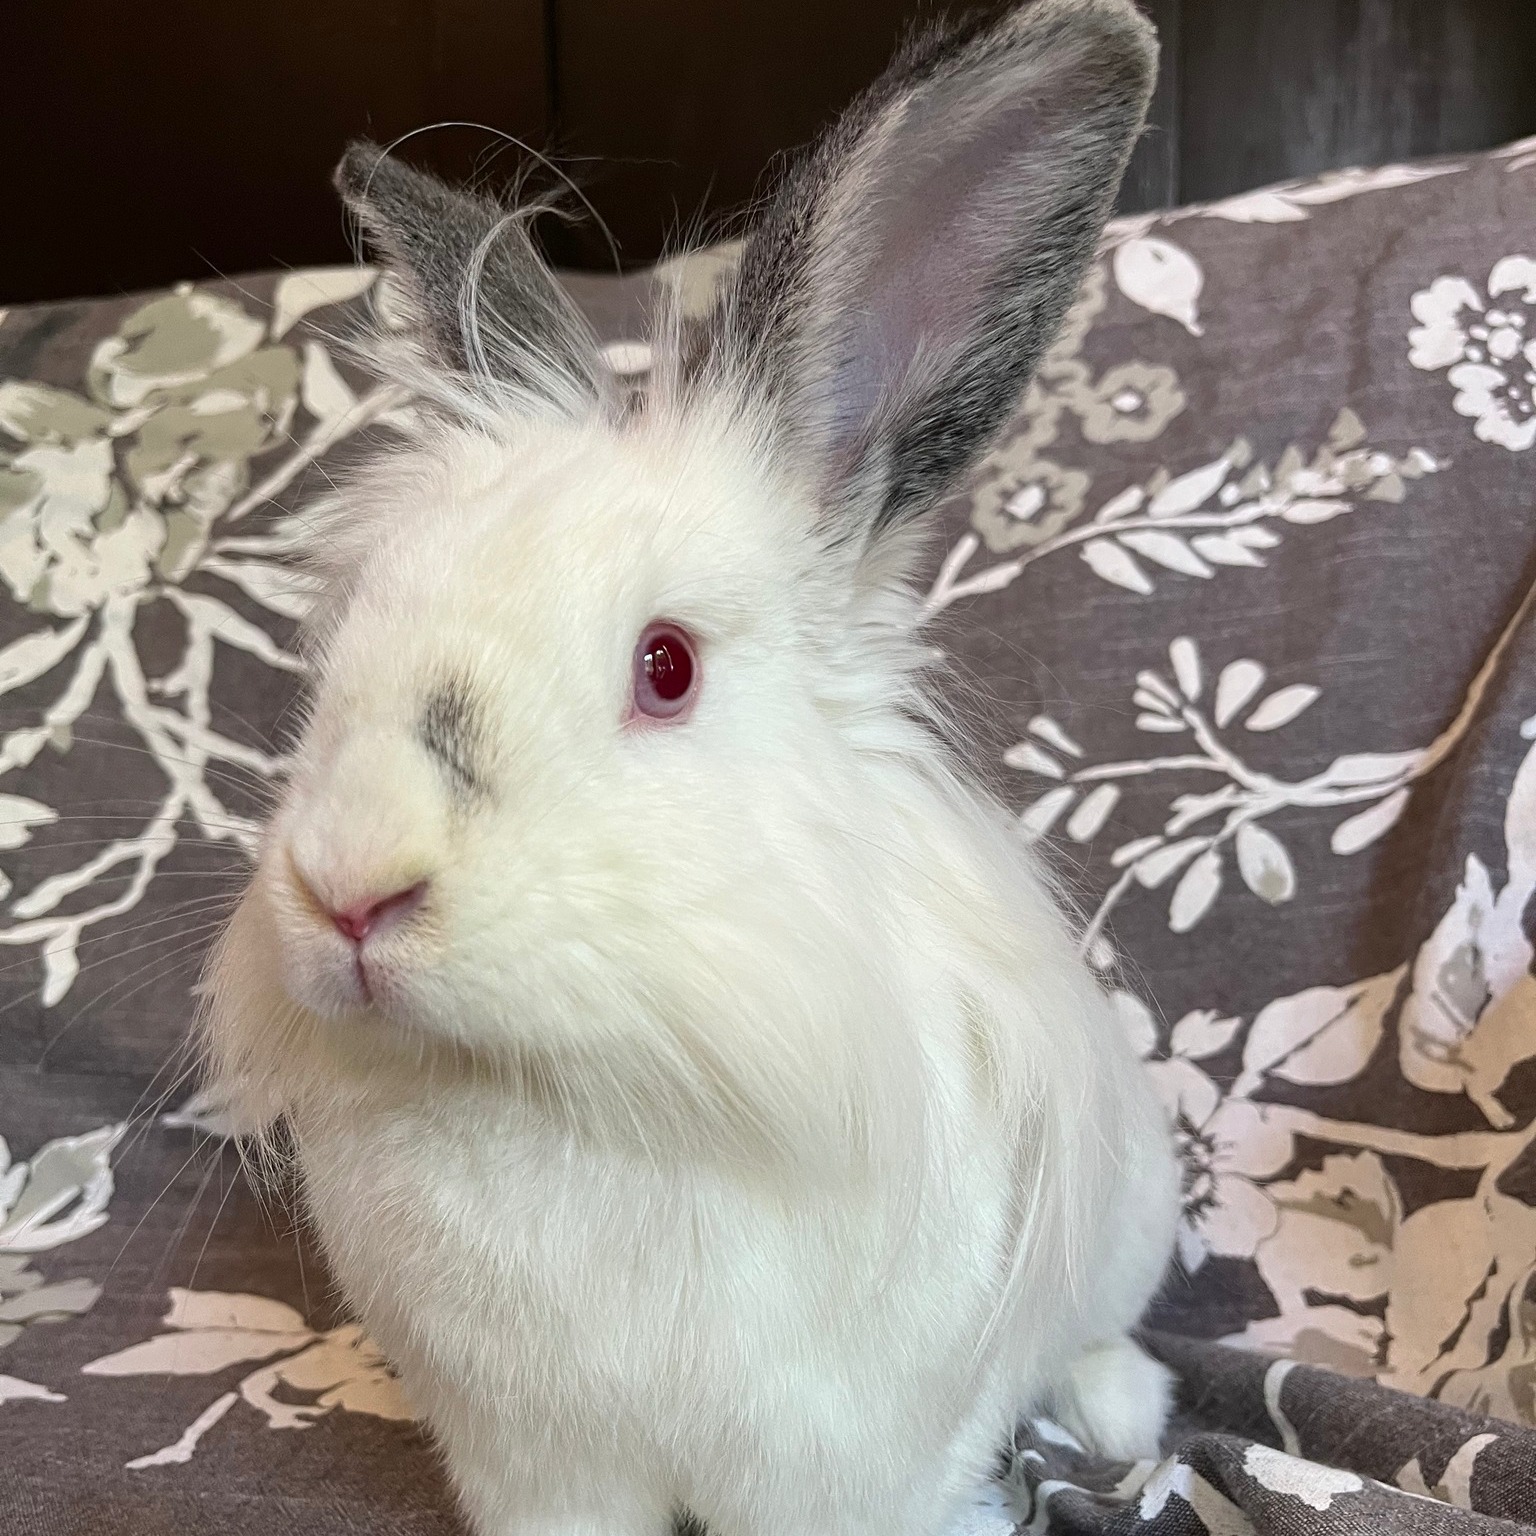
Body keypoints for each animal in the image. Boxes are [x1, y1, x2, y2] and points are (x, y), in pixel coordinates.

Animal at [202, 2, 1180, 1533]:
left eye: (665, 668)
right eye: (350, 647)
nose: (352, 890)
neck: (593, 1094)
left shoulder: (849, 1464)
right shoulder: (536, 1465)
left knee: (1098, 1334)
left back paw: (1125, 1408)